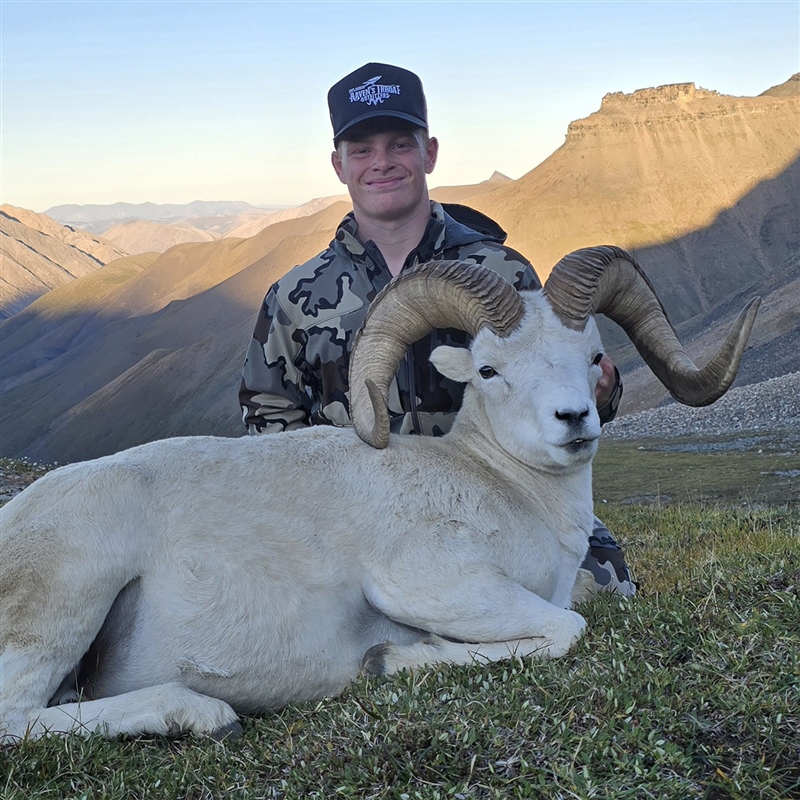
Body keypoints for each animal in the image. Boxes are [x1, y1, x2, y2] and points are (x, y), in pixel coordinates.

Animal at [0, 246, 759, 744]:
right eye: (489, 369)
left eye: (594, 357)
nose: (574, 420)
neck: (500, 486)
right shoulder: (430, 583)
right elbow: (566, 628)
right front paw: (389, 661)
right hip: (66, 601)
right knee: (16, 719)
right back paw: (203, 715)